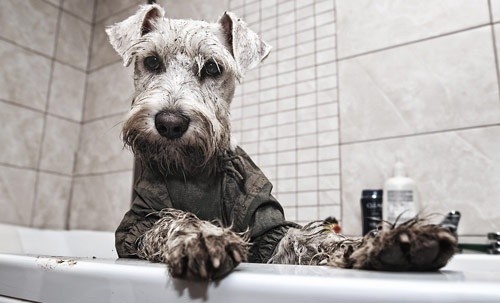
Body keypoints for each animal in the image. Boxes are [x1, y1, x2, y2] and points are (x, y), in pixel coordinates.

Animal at [106, 4, 458, 282]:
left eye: (212, 68)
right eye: (152, 62)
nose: (170, 123)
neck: (195, 169)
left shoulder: (266, 230)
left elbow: (307, 239)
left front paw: (388, 242)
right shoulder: (140, 222)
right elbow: (170, 222)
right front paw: (202, 238)